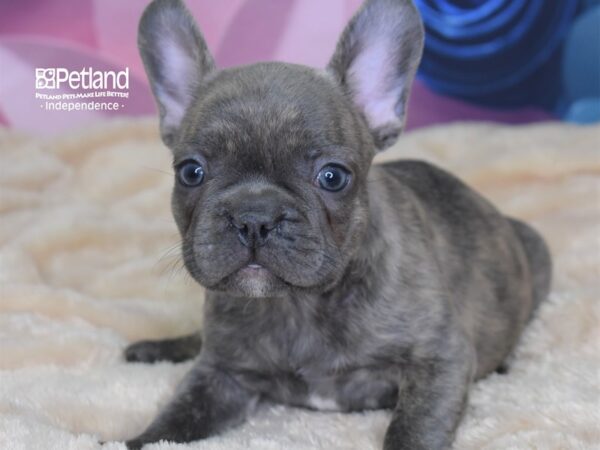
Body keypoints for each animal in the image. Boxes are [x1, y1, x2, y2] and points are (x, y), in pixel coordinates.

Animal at [124, 0, 552, 450]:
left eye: (333, 177)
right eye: (190, 172)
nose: (254, 217)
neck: (299, 305)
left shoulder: (439, 359)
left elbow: (414, 427)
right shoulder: (221, 375)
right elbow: (171, 423)